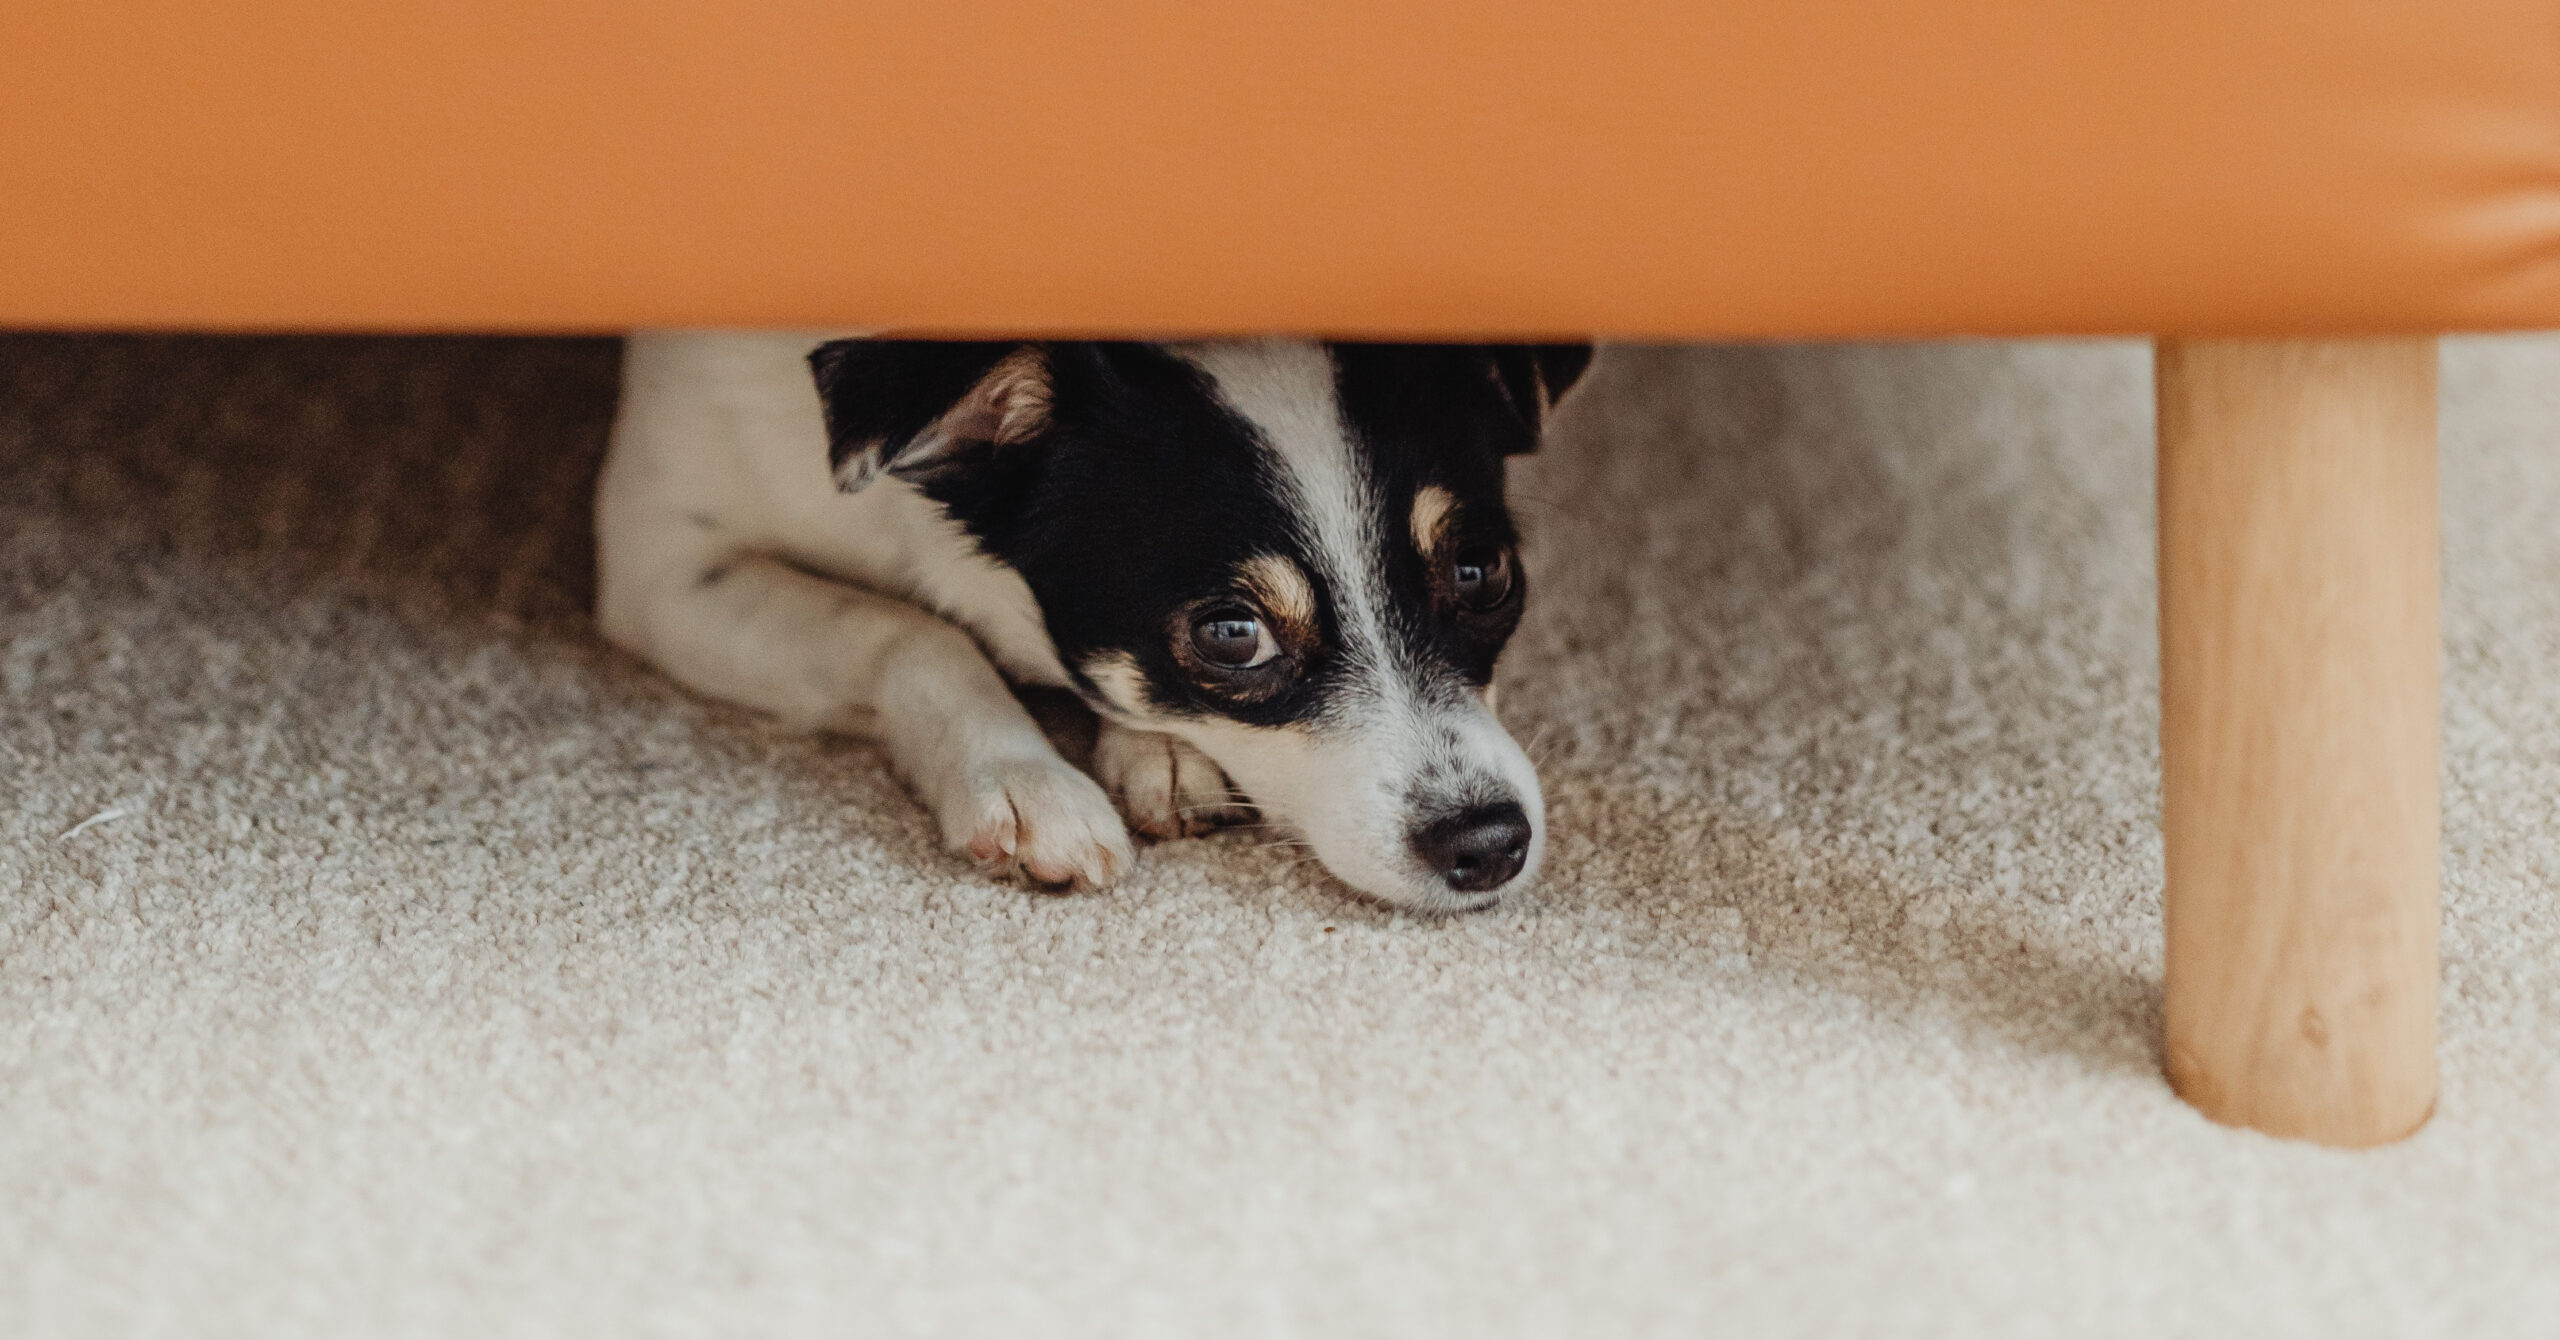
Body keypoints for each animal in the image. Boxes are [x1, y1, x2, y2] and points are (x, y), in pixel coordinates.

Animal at [601, 333, 1587, 912]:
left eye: (1480, 573)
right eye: (1233, 635)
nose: (1488, 843)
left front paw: (1160, 751)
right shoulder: (661, 564)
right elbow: (914, 631)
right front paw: (1025, 780)